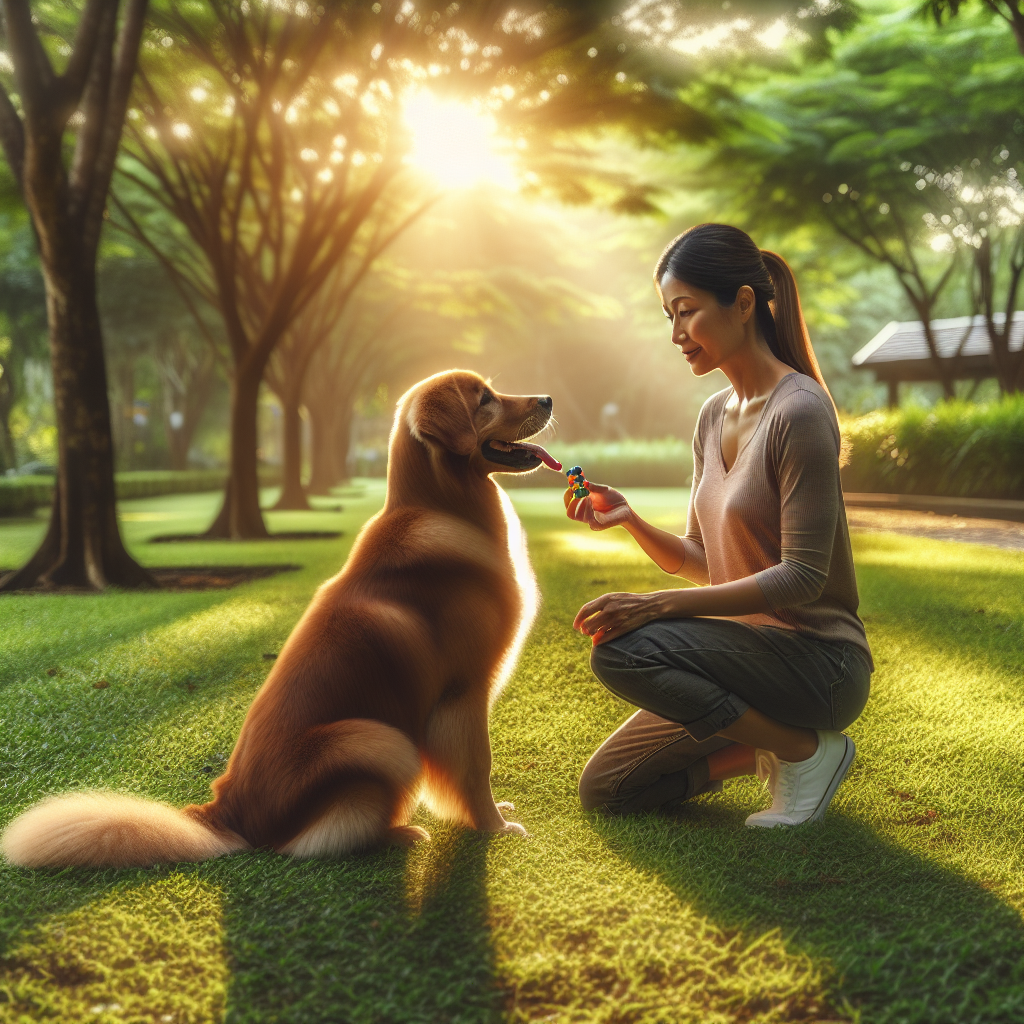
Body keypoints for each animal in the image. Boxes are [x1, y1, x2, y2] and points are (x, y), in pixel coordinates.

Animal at [2, 368, 561, 864]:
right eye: (484, 399)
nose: (548, 398)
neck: (443, 506)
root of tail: (223, 811)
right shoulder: (463, 692)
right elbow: (477, 768)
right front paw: (494, 827)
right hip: (383, 740)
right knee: (312, 844)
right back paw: (400, 834)